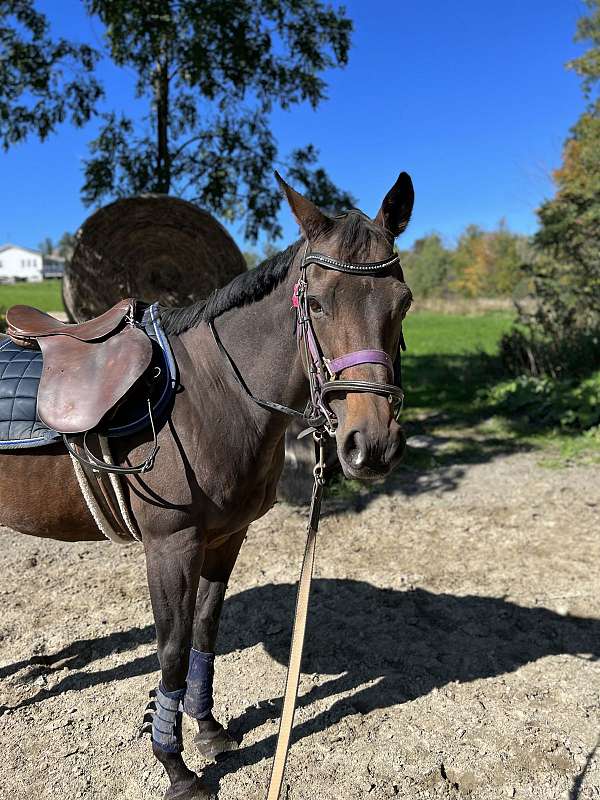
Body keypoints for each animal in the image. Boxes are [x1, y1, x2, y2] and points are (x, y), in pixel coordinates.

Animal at [0, 170, 414, 800]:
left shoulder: (225, 537)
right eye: (316, 302)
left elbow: (205, 629)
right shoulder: (171, 546)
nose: (372, 445)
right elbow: (170, 649)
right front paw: (174, 766)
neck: (214, 393)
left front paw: (207, 729)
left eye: (404, 302)